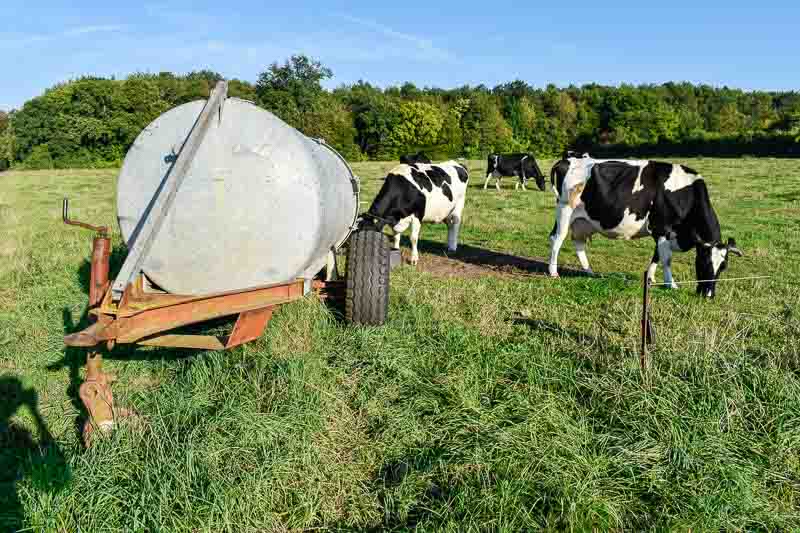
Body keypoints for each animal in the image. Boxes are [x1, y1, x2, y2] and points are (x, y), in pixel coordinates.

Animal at [552, 156, 744, 298]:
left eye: (723, 266)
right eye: (703, 262)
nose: (708, 295)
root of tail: (567, 159)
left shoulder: (662, 233)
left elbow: (657, 256)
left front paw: (650, 279)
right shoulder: (662, 228)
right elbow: (666, 259)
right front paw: (671, 284)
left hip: (582, 221)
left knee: (578, 243)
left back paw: (589, 272)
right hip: (565, 209)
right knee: (557, 239)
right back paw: (554, 273)